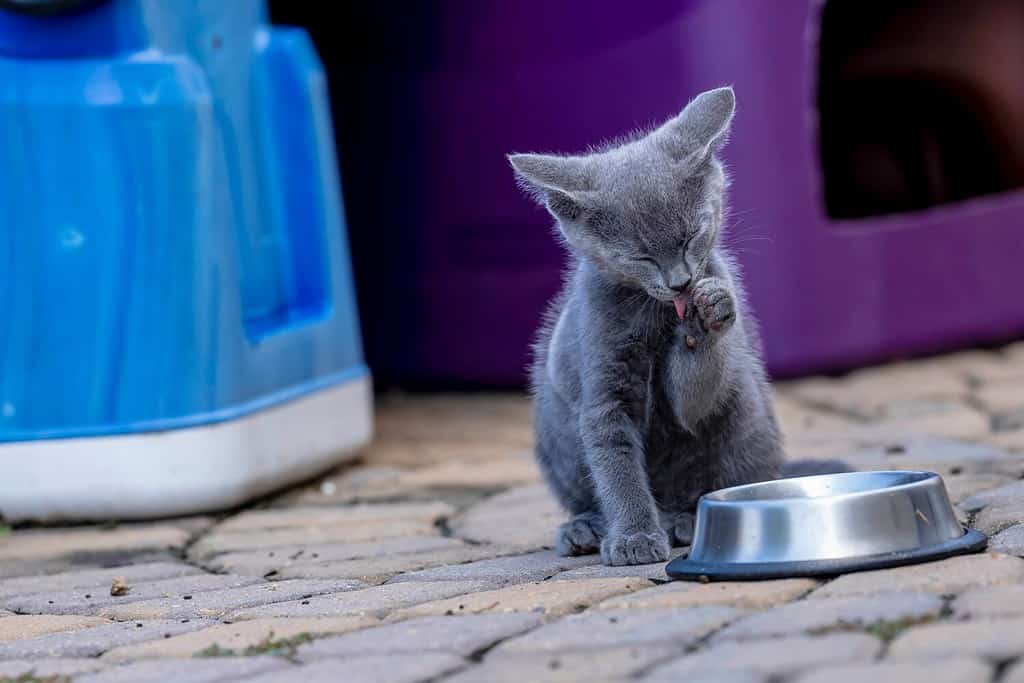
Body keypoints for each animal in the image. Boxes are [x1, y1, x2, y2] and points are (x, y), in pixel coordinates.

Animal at [507, 87, 778, 565]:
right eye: (641, 257)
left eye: (691, 237)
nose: (681, 282)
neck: (652, 312)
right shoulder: (603, 387)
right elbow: (615, 463)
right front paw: (633, 536)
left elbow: (692, 399)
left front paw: (711, 311)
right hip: (555, 430)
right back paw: (586, 527)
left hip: (746, 414)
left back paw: (684, 519)